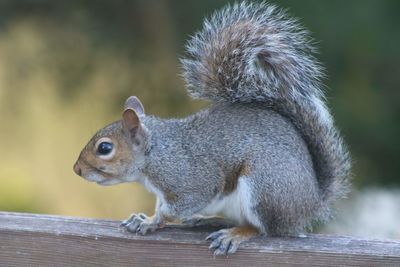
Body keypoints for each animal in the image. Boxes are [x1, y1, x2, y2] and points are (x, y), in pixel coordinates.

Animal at [73, 2, 352, 258]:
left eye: (105, 148)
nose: (77, 170)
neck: (156, 152)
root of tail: (311, 203)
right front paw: (144, 218)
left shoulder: (190, 179)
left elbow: (177, 206)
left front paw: (152, 221)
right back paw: (206, 219)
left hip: (265, 185)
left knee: (264, 229)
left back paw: (234, 234)